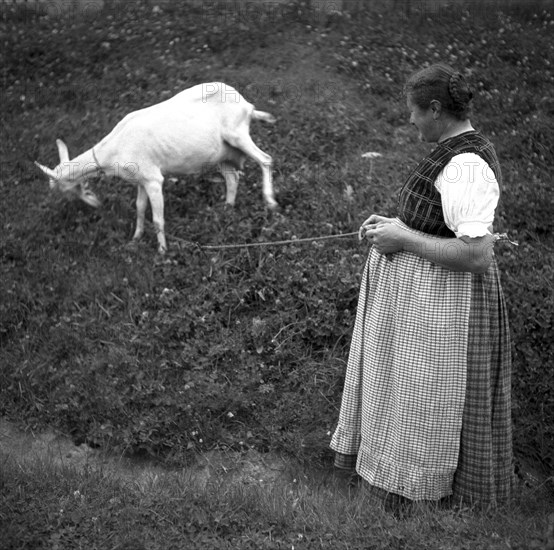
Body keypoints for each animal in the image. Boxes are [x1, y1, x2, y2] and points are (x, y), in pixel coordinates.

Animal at [35, 82, 276, 254]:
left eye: (68, 190)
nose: (96, 204)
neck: (114, 150)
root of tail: (247, 106)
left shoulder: (153, 179)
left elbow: (158, 219)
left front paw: (162, 251)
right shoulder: (140, 180)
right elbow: (140, 209)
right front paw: (135, 238)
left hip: (237, 134)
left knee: (265, 159)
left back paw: (270, 201)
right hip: (222, 153)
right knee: (232, 177)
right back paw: (227, 209)